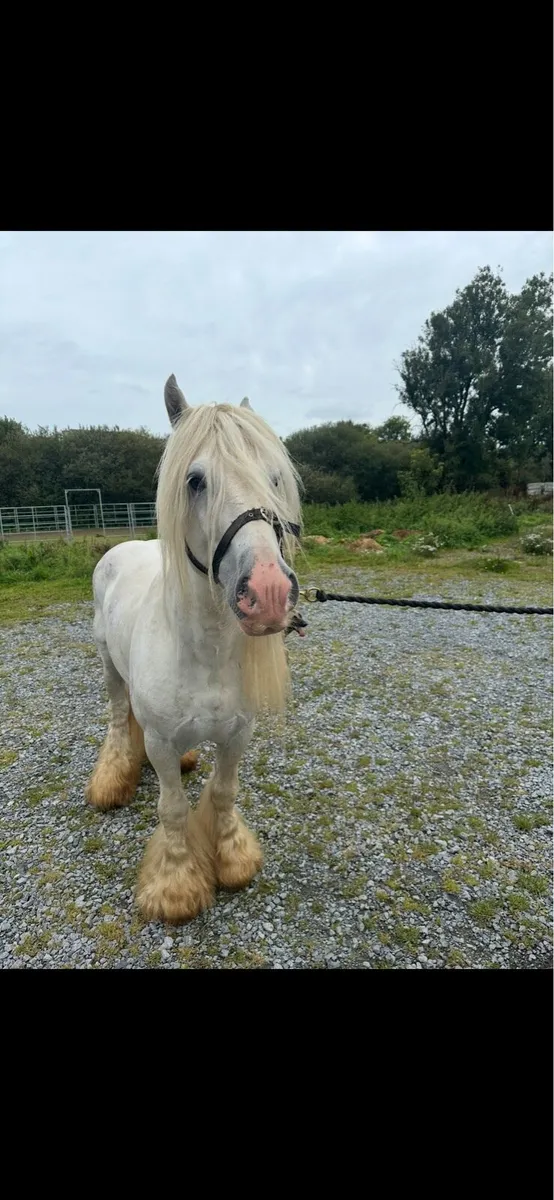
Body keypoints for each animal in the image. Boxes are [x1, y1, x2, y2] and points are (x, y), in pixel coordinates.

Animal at [85, 376, 303, 924]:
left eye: (274, 477)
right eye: (196, 480)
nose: (269, 591)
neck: (205, 653)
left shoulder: (237, 734)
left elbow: (223, 794)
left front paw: (232, 860)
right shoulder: (160, 742)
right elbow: (173, 809)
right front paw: (176, 886)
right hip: (108, 666)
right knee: (118, 718)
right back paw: (112, 780)